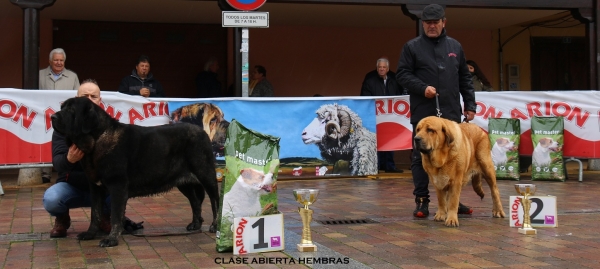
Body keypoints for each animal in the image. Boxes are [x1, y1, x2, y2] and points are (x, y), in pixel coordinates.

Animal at [51, 97, 220, 246]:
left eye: (71, 110)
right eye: (62, 108)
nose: (52, 116)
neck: (97, 139)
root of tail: (203, 132)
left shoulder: (117, 186)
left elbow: (115, 215)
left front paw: (111, 239)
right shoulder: (95, 188)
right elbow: (95, 213)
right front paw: (90, 233)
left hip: (206, 174)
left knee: (215, 200)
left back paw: (215, 225)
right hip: (184, 183)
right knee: (195, 201)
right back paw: (195, 224)